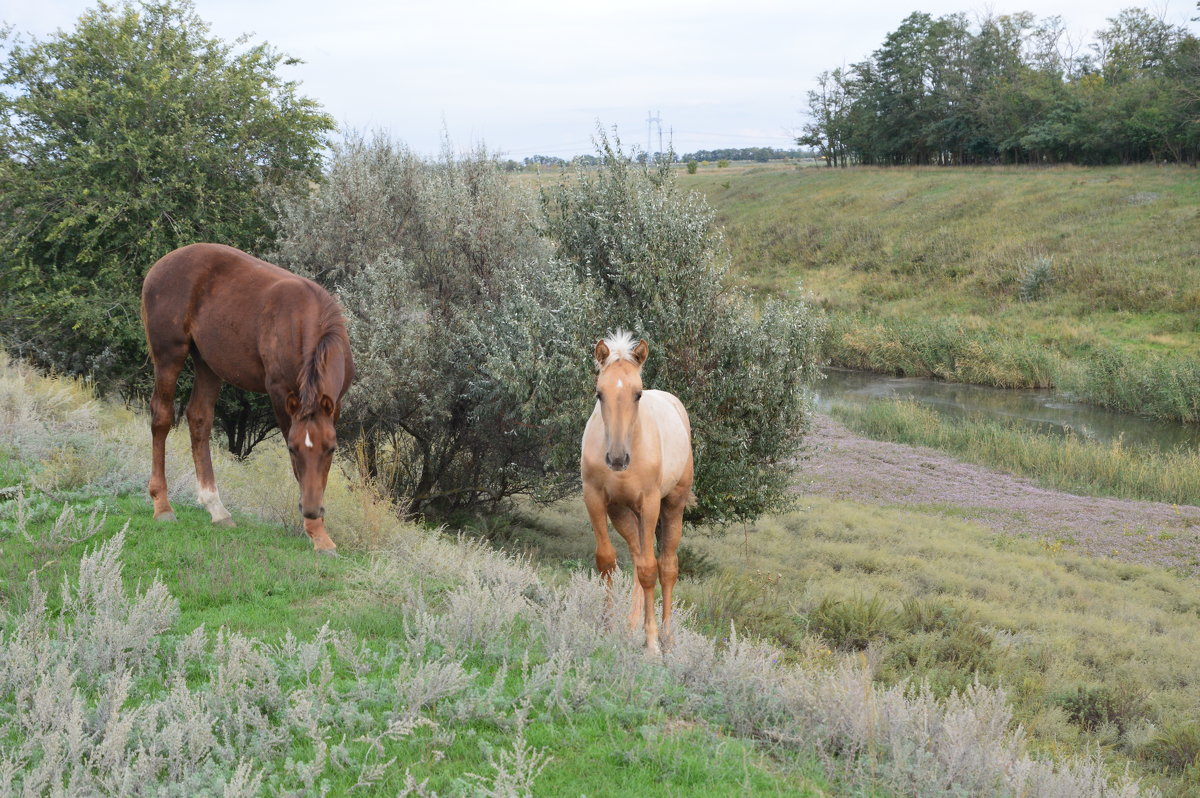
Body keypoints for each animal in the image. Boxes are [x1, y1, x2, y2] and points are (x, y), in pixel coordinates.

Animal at [141, 242, 352, 554]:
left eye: (332, 449)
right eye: (292, 449)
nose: (312, 510)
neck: (307, 319)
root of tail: (160, 265)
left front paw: (319, 531)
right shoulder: (280, 395)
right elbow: (298, 472)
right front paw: (317, 534)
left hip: (208, 363)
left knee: (199, 418)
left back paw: (217, 509)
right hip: (169, 355)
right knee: (162, 416)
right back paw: (162, 506)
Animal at [580, 328, 696, 652]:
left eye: (638, 394)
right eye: (599, 393)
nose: (617, 458)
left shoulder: (650, 503)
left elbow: (649, 570)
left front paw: (652, 645)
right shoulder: (595, 498)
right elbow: (607, 561)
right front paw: (608, 627)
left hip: (672, 506)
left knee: (666, 566)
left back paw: (667, 637)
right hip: (622, 512)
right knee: (636, 555)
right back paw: (631, 626)